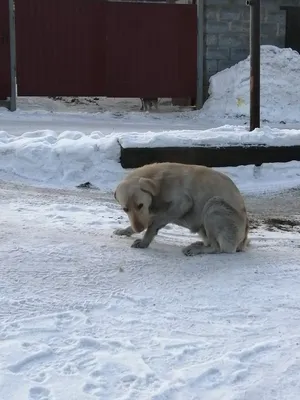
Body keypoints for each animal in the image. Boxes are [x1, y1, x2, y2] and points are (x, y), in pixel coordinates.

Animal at [112, 162, 248, 256]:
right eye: (125, 209)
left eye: (140, 205)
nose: (139, 229)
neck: (158, 185)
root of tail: (243, 241)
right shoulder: (150, 214)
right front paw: (124, 231)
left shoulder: (183, 203)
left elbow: (153, 225)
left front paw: (144, 242)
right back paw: (199, 244)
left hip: (214, 205)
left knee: (218, 248)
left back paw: (197, 249)